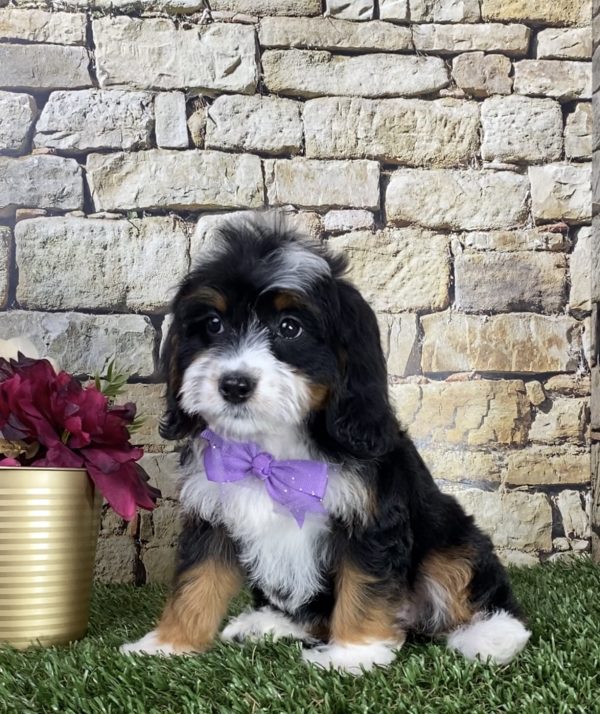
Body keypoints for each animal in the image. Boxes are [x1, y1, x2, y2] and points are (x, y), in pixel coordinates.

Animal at [120, 214, 528, 672]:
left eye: (290, 328)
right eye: (212, 324)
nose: (234, 384)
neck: (272, 447)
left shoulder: (370, 516)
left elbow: (364, 586)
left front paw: (354, 654)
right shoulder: (213, 510)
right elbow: (196, 580)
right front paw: (169, 644)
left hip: (451, 537)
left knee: (461, 574)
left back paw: (492, 636)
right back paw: (269, 624)